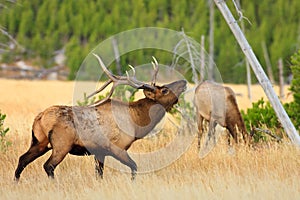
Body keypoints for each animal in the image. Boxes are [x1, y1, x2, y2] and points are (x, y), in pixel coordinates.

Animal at [15, 54, 188, 180]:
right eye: (164, 90)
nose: (184, 81)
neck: (137, 122)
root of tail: (40, 118)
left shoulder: (100, 152)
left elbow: (99, 174)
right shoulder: (117, 148)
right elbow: (134, 167)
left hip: (39, 142)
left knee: (22, 159)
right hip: (61, 144)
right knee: (48, 166)